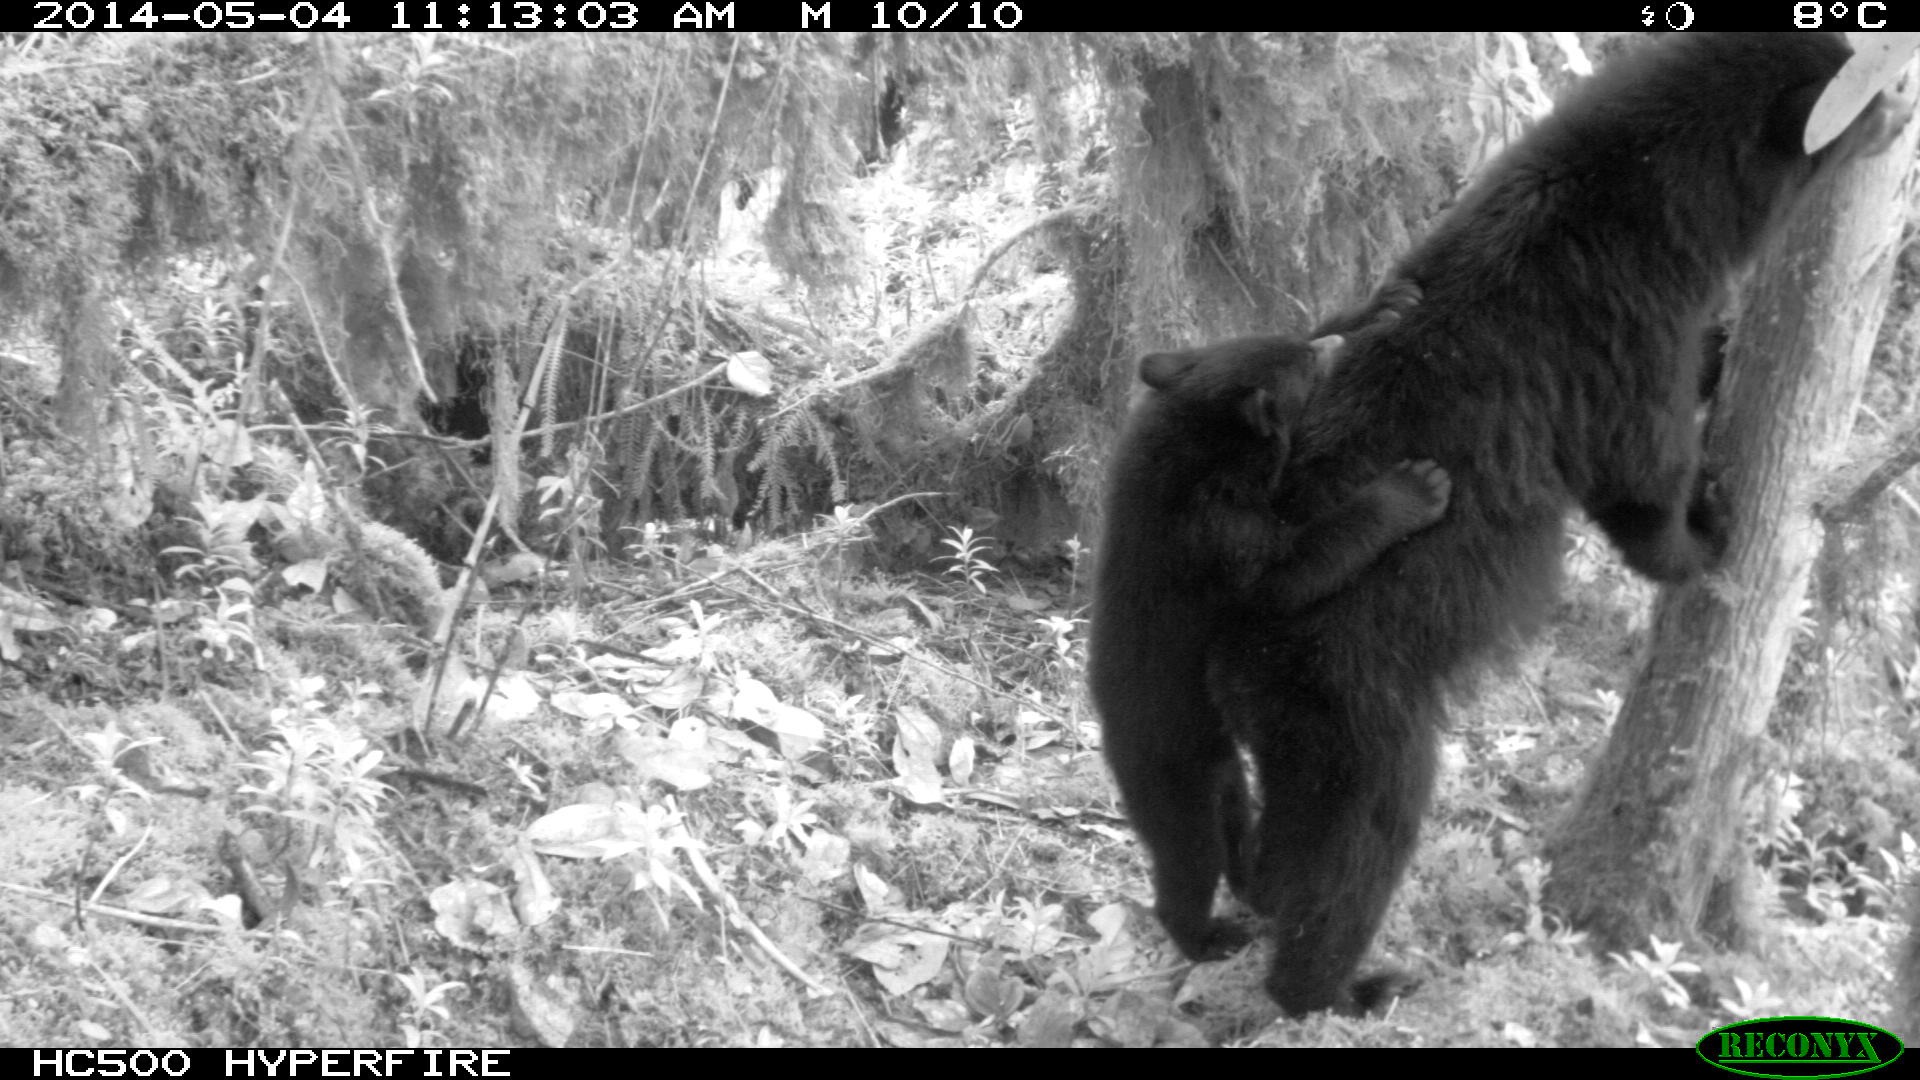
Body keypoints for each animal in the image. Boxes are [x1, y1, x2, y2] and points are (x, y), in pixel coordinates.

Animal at [1089, 285, 1451, 964]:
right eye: (1306, 369)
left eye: (1300, 346)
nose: (1330, 346)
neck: (1193, 439)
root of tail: (1113, 748)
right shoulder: (1212, 533)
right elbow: (1290, 572)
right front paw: (1415, 487)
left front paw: (1385, 303)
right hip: (1172, 768)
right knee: (1190, 855)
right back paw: (1206, 935)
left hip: (1220, 765)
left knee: (1235, 818)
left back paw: (1255, 885)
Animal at [1198, 32, 1907, 1016]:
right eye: (1862, 90)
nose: (1905, 103)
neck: (1647, 195)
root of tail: (1228, 624)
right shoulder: (1620, 318)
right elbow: (1637, 457)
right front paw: (1700, 531)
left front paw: (1724, 352)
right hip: (1350, 683)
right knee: (1359, 832)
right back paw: (1341, 984)